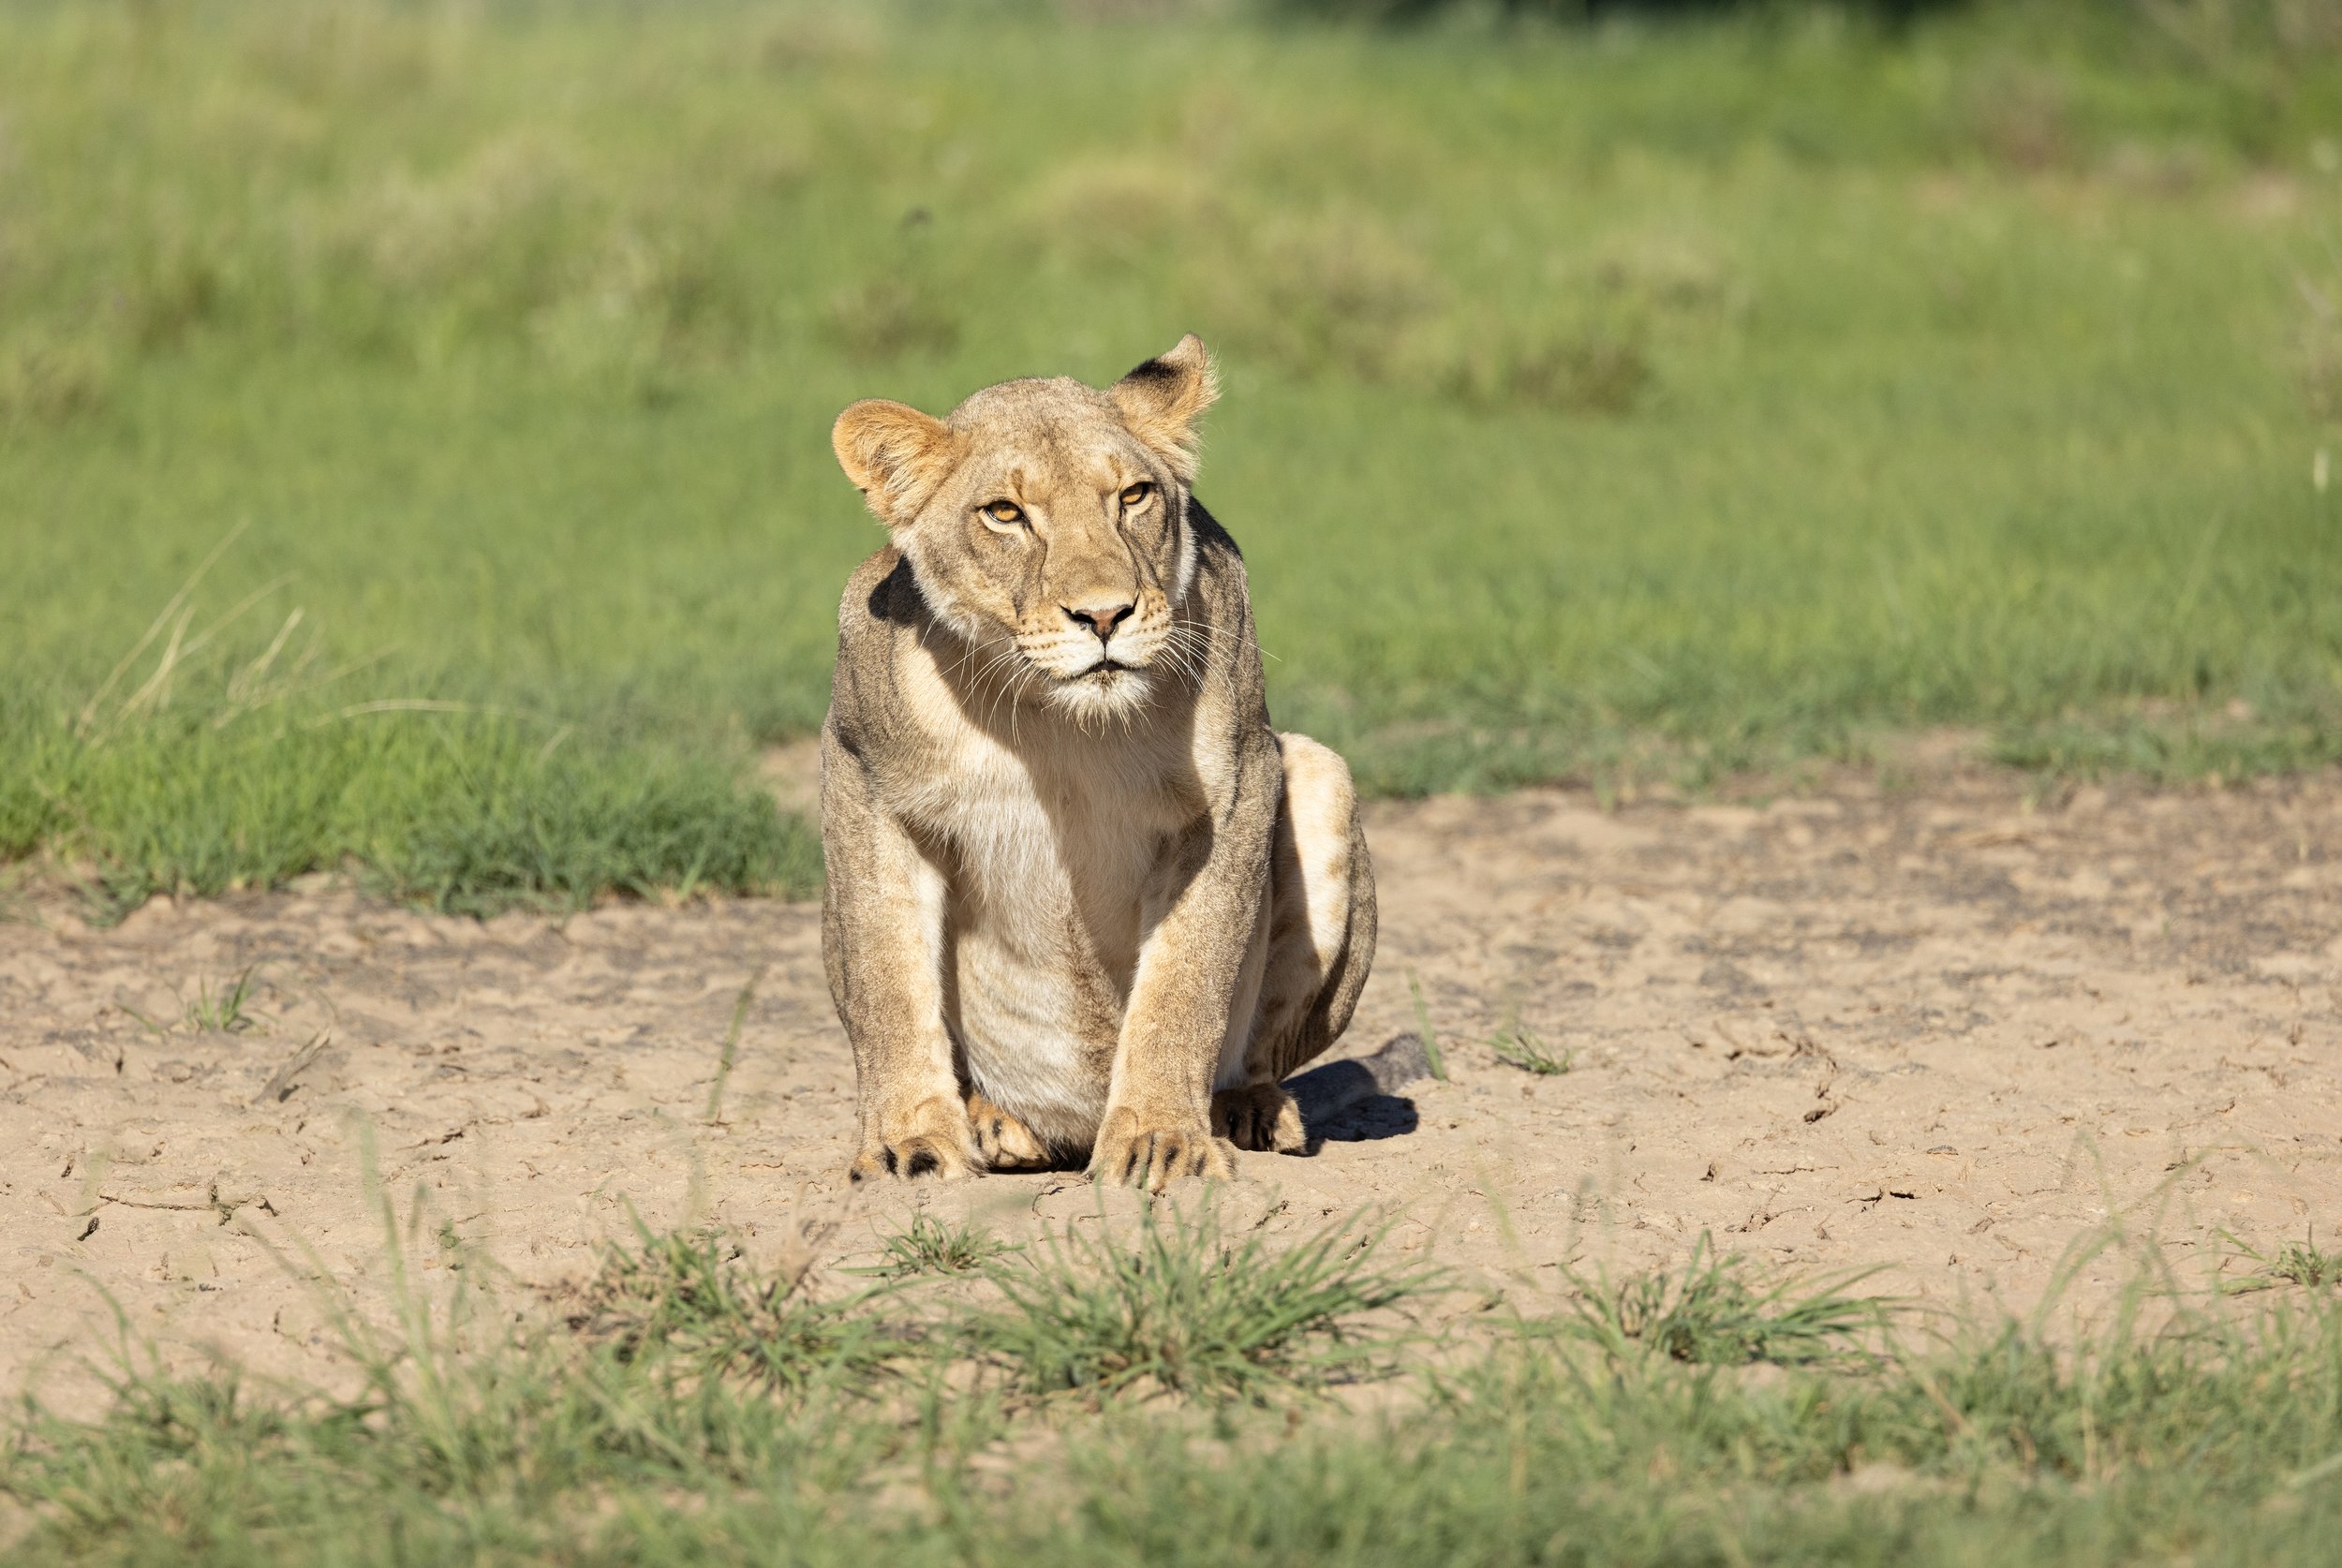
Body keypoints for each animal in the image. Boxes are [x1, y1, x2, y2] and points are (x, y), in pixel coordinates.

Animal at [819, 334, 1376, 1192]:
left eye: (1134, 496)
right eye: (1005, 513)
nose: (1106, 614)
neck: (1058, 724)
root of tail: (1071, 1133)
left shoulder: (1235, 789)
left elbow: (1183, 985)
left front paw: (1158, 1140)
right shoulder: (863, 780)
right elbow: (886, 980)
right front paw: (908, 1145)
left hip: (1322, 774)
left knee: (1258, 1057)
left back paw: (1245, 1112)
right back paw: (996, 1124)